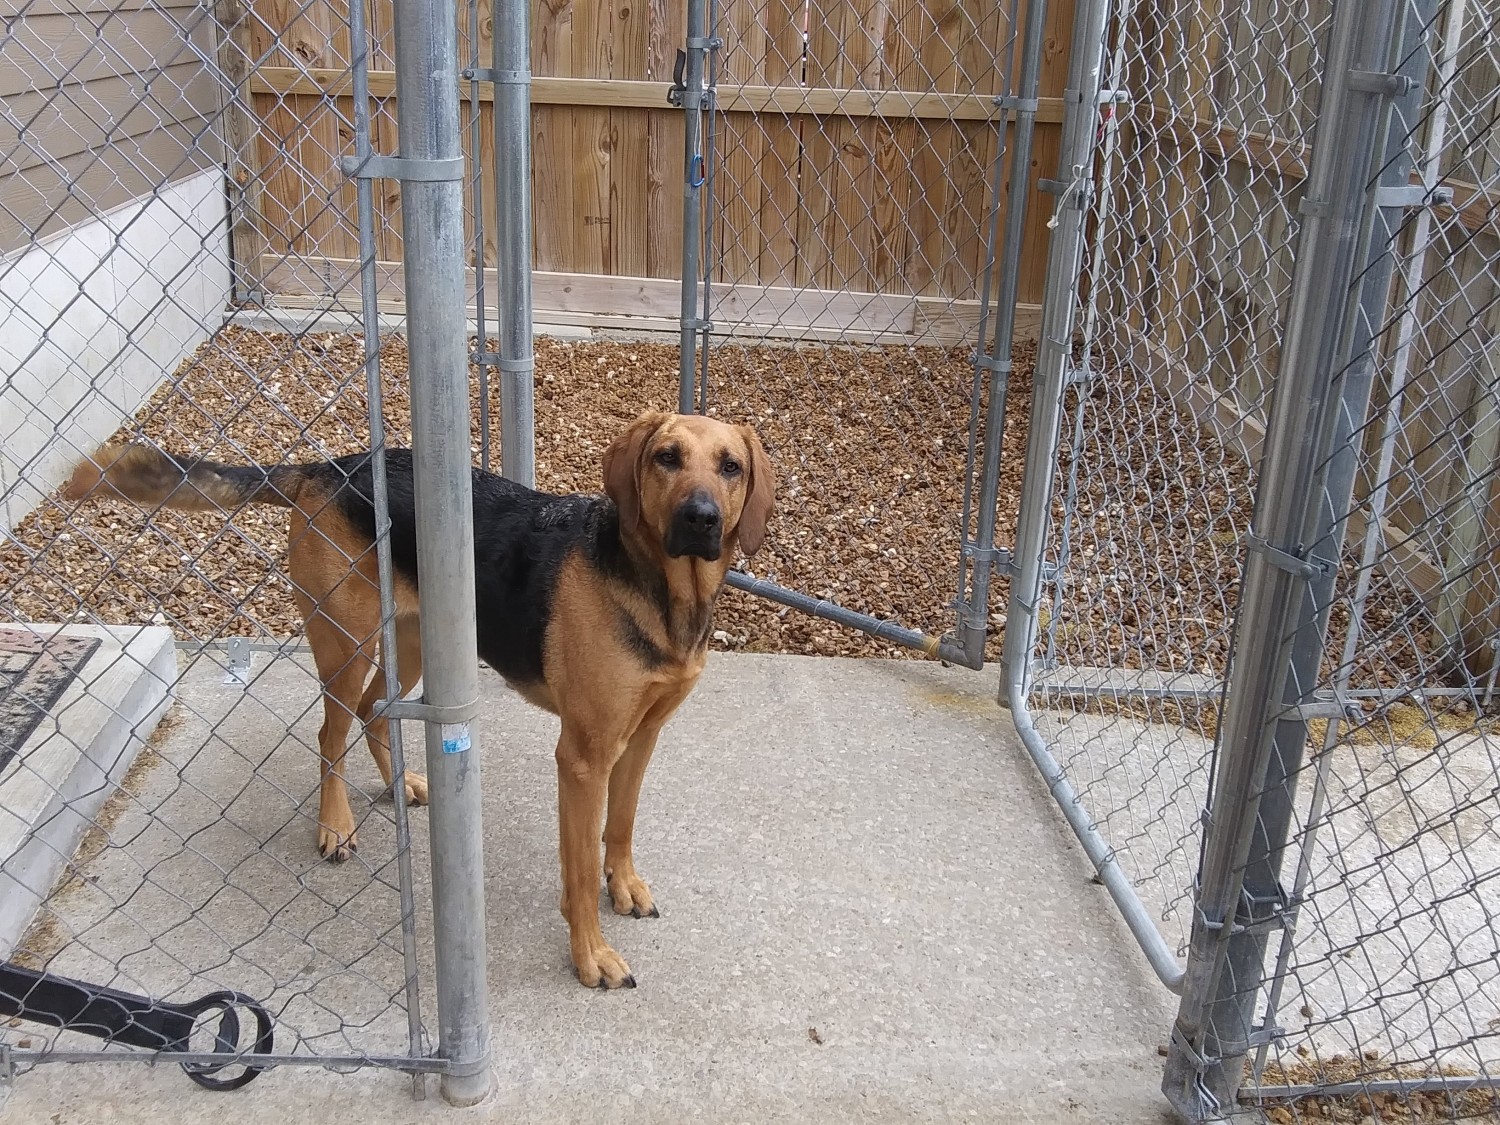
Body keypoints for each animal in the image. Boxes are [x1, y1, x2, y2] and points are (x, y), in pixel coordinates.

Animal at [67, 411, 774, 984]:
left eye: (730, 466)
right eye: (666, 458)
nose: (702, 519)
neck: (663, 589)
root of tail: (330, 468)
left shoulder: (641, 736)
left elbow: (620, 825)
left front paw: (623, 886)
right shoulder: (582, 758)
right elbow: (576, 870)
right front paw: (590, 955)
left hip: (409, 645)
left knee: (373, 712)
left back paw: (400, 782)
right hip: (346, 644)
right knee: (331, 731)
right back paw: (335, 827)